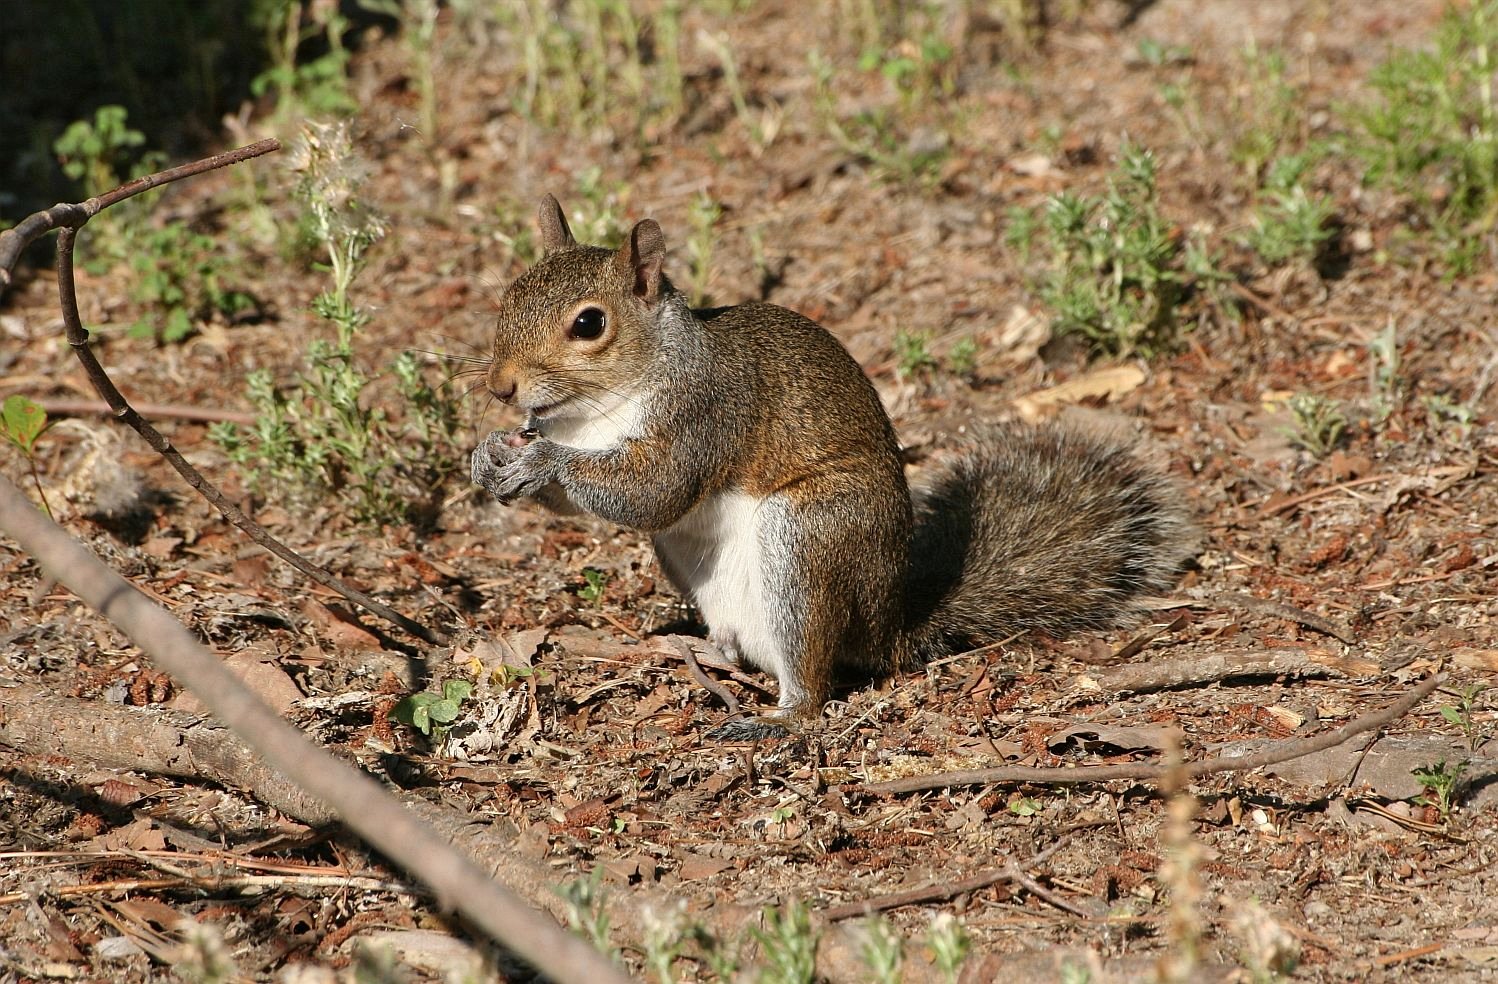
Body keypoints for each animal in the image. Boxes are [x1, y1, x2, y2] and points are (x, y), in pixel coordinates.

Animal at [471, 195, 1199, 740]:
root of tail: (888, 632)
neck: (597, 410)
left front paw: (543, 460)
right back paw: (689, 649)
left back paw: (779, 716)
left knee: (812, 678)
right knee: (738, 647)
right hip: (698, 567)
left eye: (589, 324)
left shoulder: (705, 413)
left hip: (810, 540)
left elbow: (654, 492)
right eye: (505, 298)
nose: (502, 388)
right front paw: (488, 457)